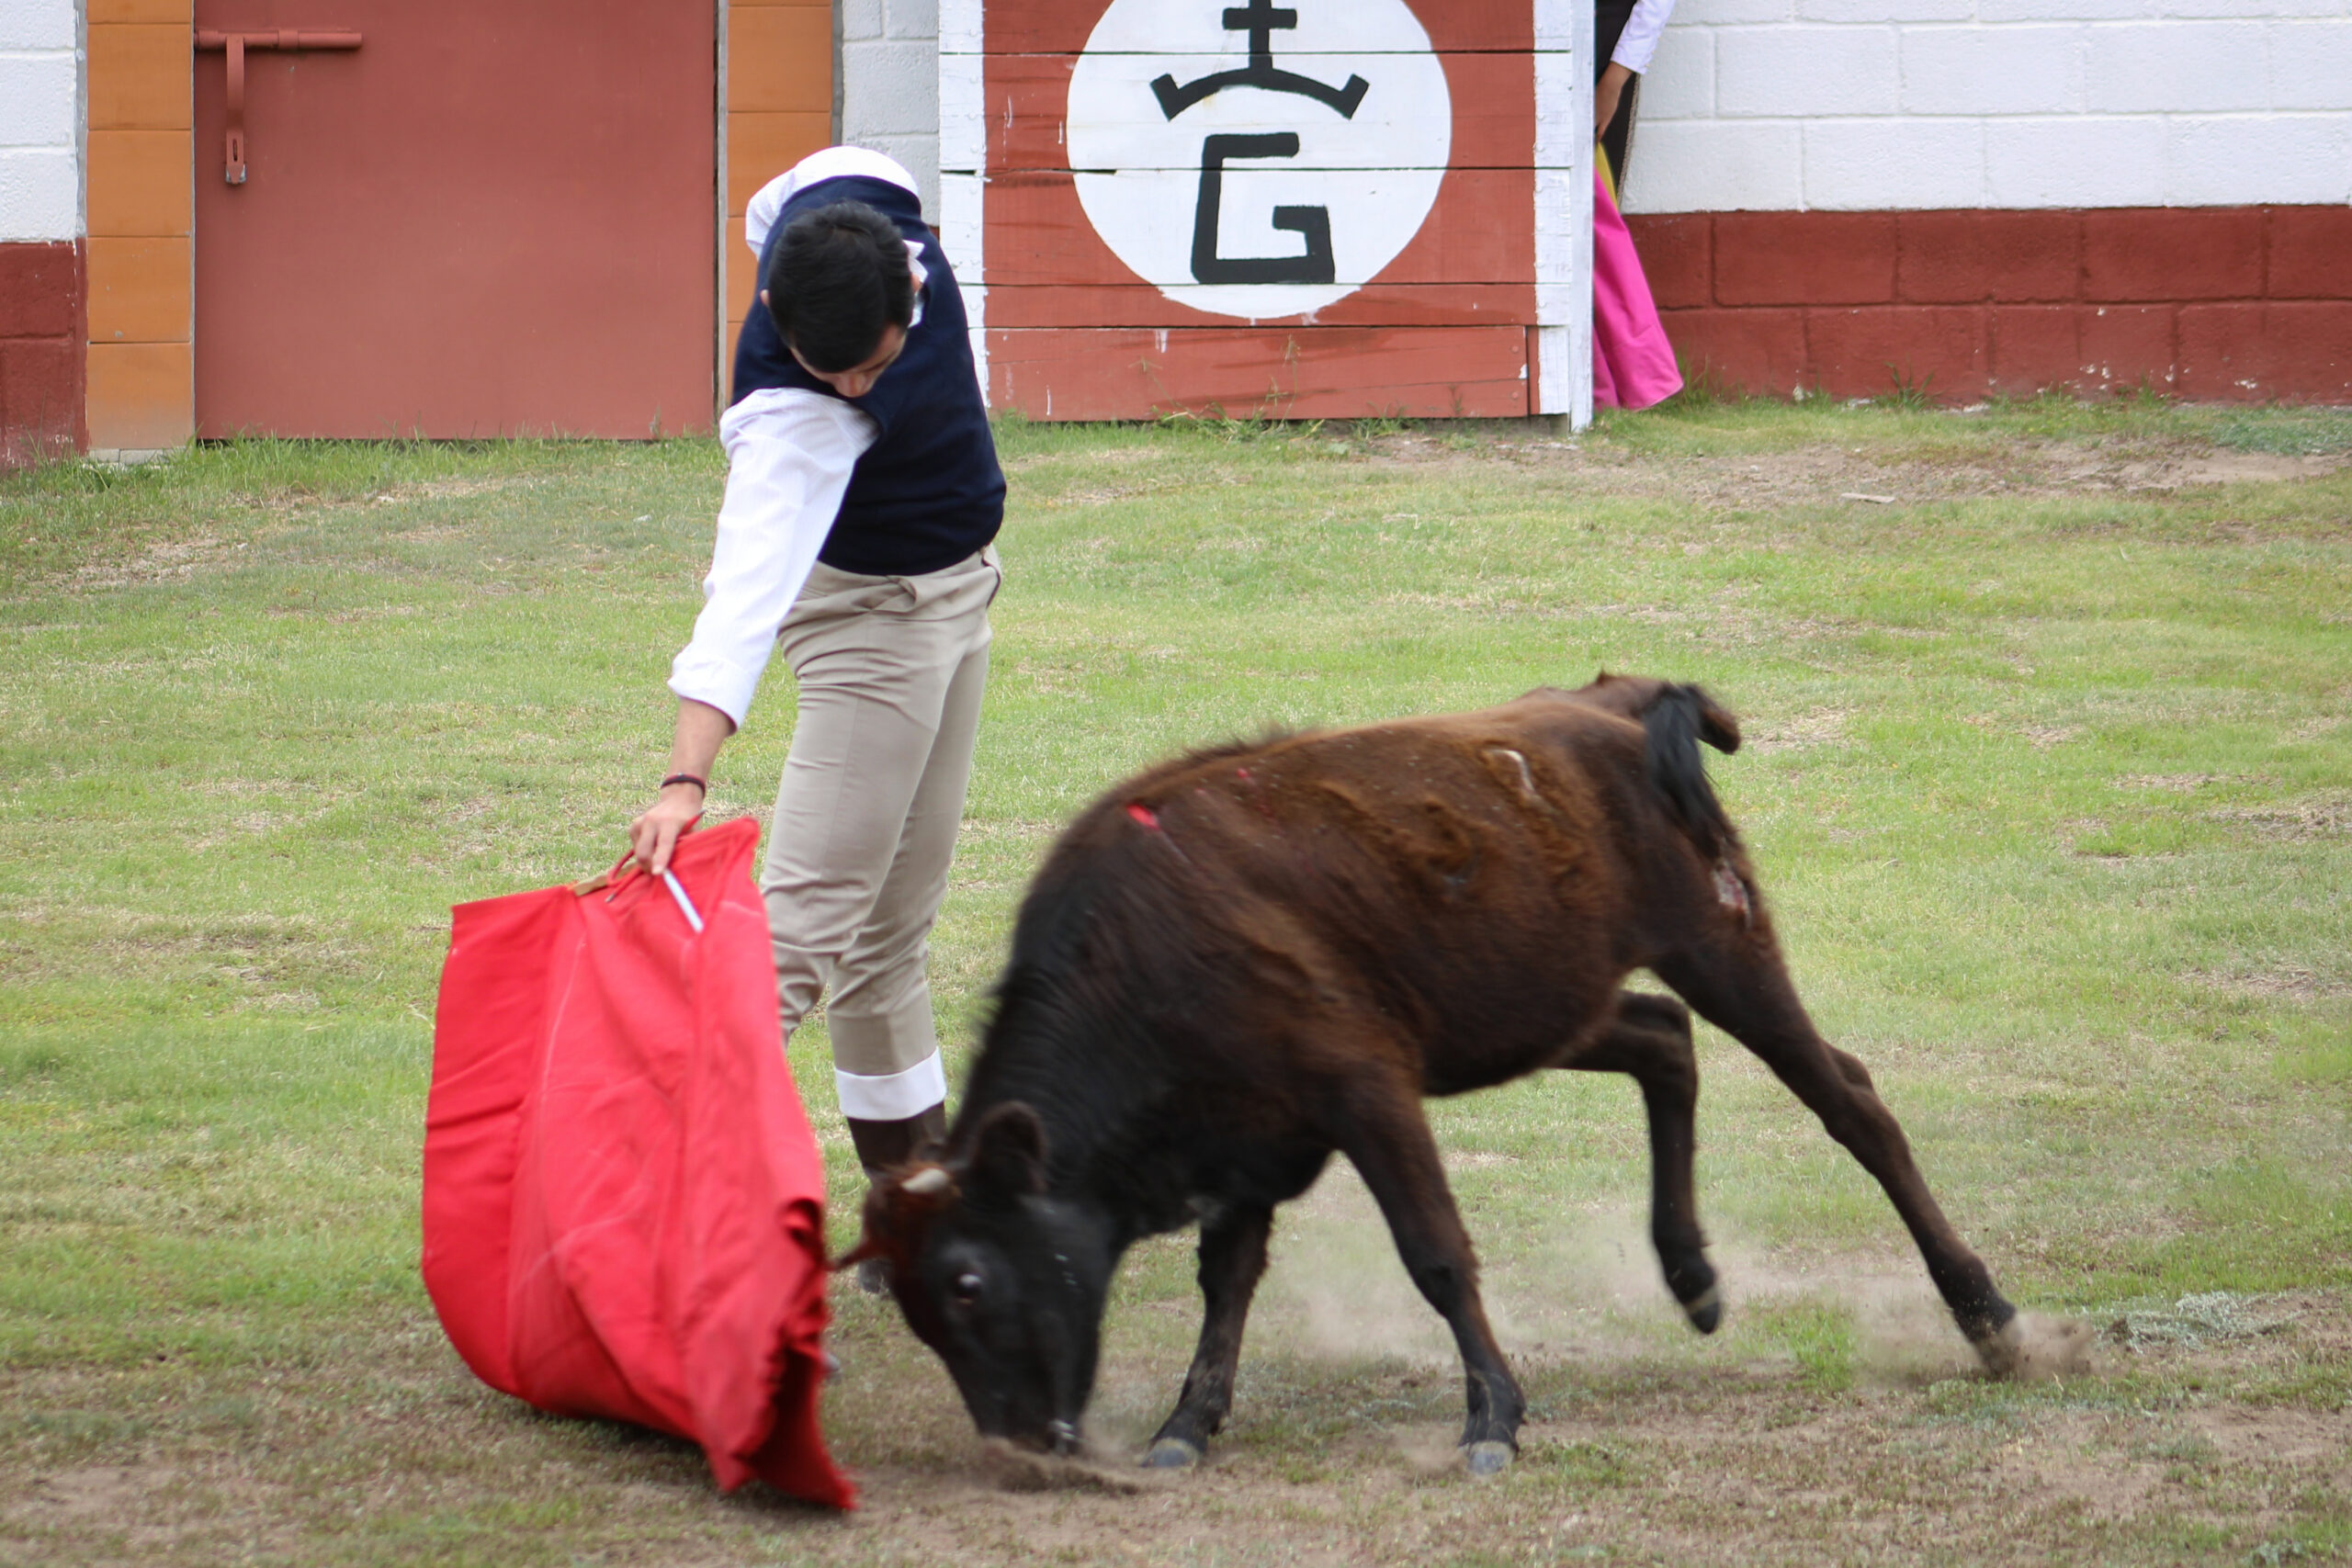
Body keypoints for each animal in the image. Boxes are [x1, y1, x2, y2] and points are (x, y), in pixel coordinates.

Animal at [842, 677, 2022, 1476]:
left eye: (967, 1280)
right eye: (916, 1305)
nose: (1016, 1447)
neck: (1139, 953)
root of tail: (1614, 703)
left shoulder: (1365, 1094)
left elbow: (1435, 1254)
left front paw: (1492, 1418)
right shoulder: (1248, 1139)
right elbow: (1228, 1280)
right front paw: (1185, 1426)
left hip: (1723, 950)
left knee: (1848, 1101)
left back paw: (1985, 1315)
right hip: (1543, 1012)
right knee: (1661, 1039)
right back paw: (1690, 1275)